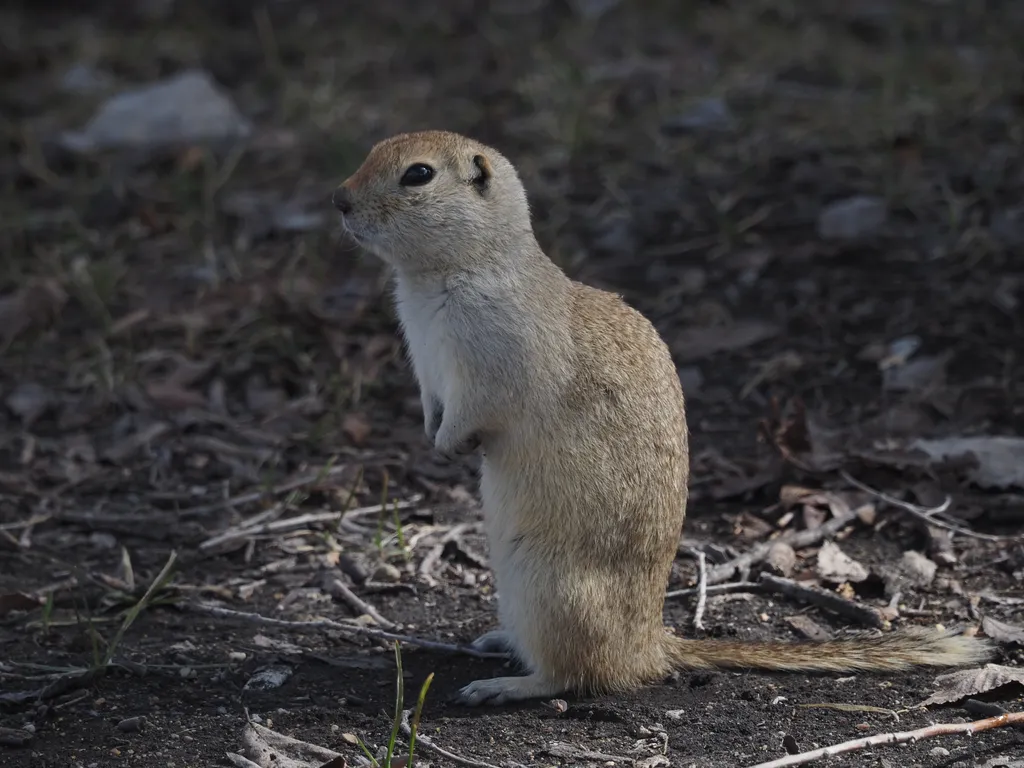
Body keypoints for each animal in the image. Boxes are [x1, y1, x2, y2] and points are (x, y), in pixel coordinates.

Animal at [331, 129, 995, 708]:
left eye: (418, 174)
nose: (338, 200)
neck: (444, 274)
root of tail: (649, 647)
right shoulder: (427, 368)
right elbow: (431, 402)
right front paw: (431, 437)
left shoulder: (491, 366)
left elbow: (477, 409)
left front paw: (448, 446)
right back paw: (497, 642)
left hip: (550, 589)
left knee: (577, 675)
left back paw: (506, 684)